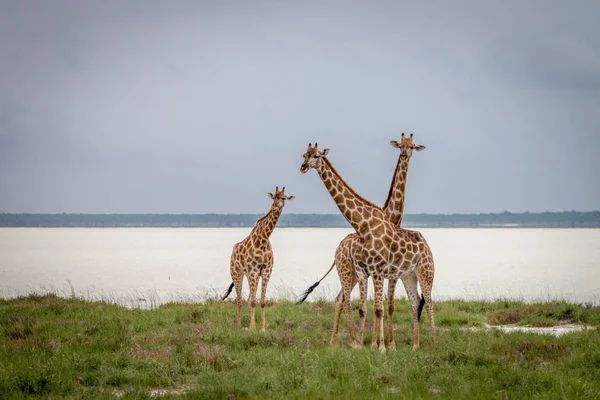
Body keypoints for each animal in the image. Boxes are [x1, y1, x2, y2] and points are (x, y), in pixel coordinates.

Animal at [221, 186, 294, 330]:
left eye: (283, 197)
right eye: (274, 197)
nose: (275, 207)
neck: (264, 240)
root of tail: (233, 251)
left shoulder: (266, 271)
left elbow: (262, 301)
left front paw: (262, 328)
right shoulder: (253, 271)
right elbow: (254, 301)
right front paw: (252, 328)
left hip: (249, 275)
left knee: (248, 298)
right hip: (237, 273)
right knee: (239, 300)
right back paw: (239, 326)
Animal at [300, 144, 436, 350]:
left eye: (316, 155)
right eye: (304, 155)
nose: (303, 166)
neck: (364, 225)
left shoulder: (380, 271)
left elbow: (381, 308)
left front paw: (382, 347)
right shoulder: (367, 271)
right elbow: (367, 308)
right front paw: (368, 344)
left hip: (425, 271)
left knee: (428, 302)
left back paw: (435, 342)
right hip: (402, 275)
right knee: (414, 302)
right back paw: (414, 346)